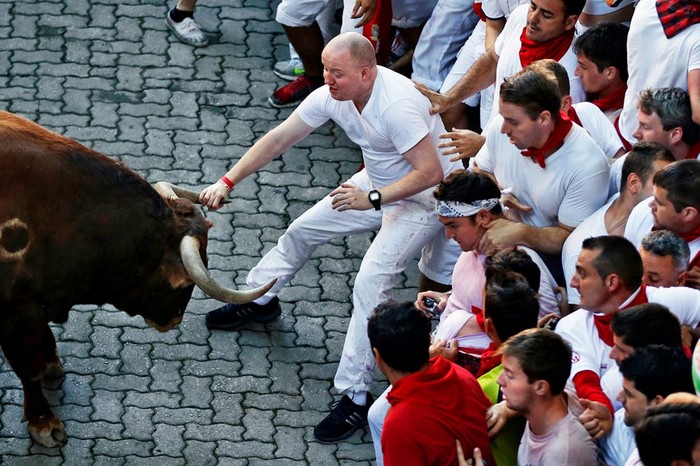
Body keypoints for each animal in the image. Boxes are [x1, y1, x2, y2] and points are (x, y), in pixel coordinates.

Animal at [0, 111, 274, 450]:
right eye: (185, 284)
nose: (174, 319)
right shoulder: (15, 316)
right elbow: (29, 369)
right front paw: (44, 423)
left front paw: (53, 364)